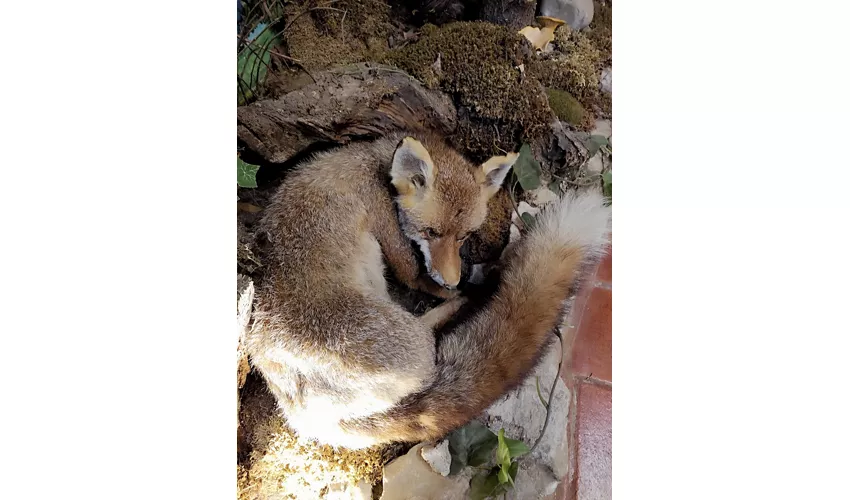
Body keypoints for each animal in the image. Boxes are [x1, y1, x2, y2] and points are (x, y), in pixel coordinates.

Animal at [245, 130, 608, 450]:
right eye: (431, 232)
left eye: (464, 236)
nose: (452, 280)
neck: (374, 164)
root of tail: (299, 411)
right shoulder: (389, 230)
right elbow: (413, 276)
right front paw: (456, 290)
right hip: (409, 337)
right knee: (430, 339)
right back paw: (470, 298)